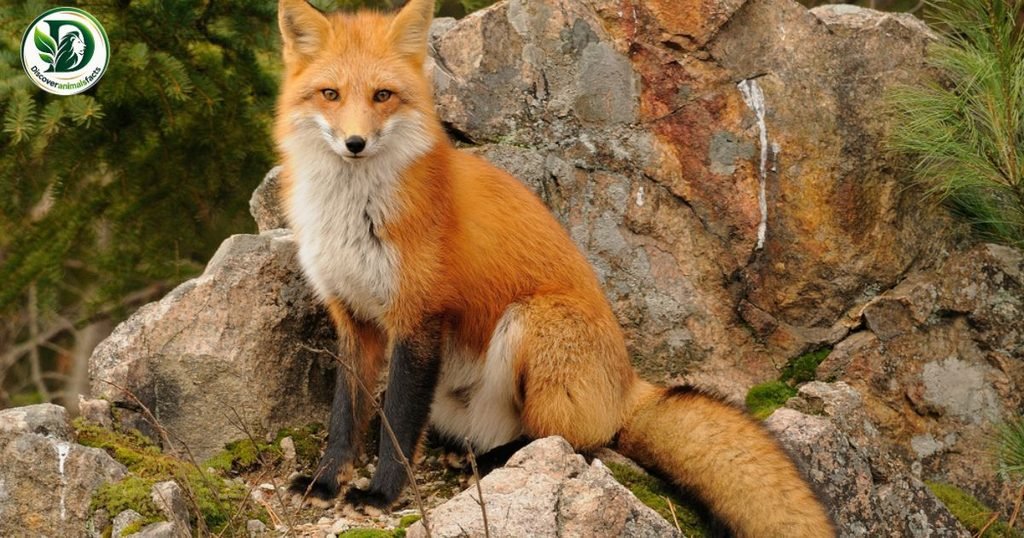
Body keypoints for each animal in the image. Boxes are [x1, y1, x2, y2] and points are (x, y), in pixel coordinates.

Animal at [274, 0, 835, 535]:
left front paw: (382, 494)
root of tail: (628, 384)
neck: (354, 214)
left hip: (535, 322)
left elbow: (399, 423)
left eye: (383, 96)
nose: (355, 143)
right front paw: (326, 482)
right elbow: (345, 417)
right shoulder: (353, 317)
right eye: (330, 94)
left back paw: (498, 461)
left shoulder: (419, 317)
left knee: (566, 440)